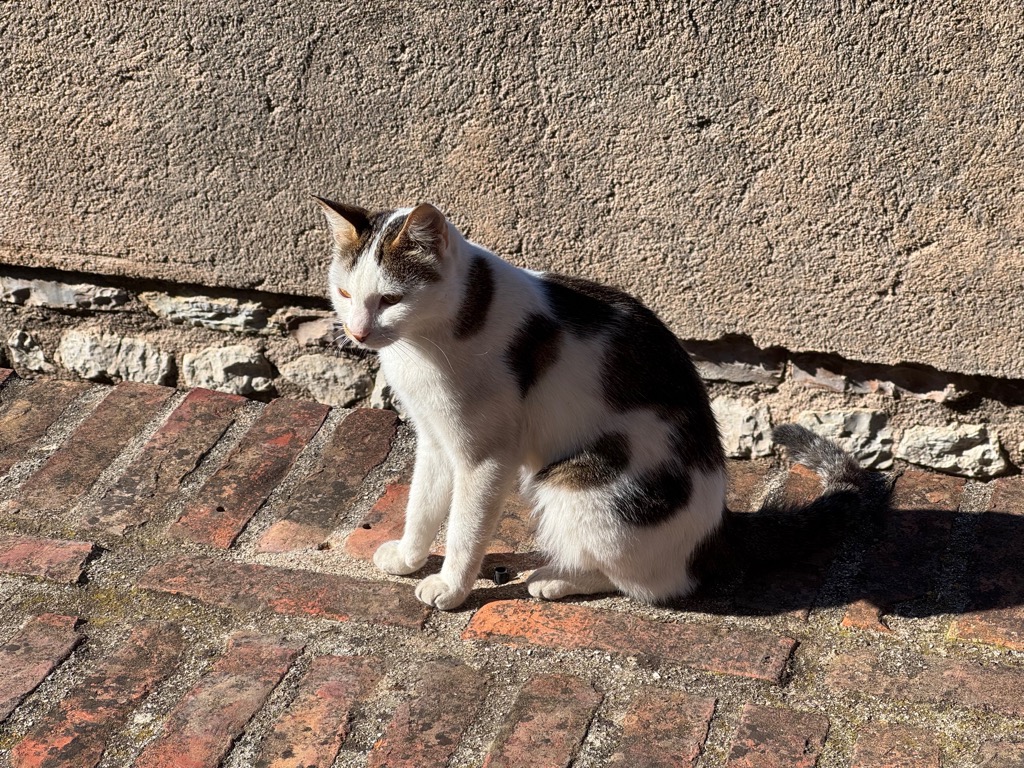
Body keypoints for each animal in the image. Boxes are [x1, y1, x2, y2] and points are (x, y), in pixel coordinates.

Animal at [316, 199, 870, 610]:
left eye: (390, 299)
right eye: (343, 292)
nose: (357, 333)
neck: (424, 344)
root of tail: (718, 525)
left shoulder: (486, 457)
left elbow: (465, 529)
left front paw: (452, 587)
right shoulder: (435, 439)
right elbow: (422, 506)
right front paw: (410, 557)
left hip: (583, 486)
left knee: (653, 583)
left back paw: (555, 578)